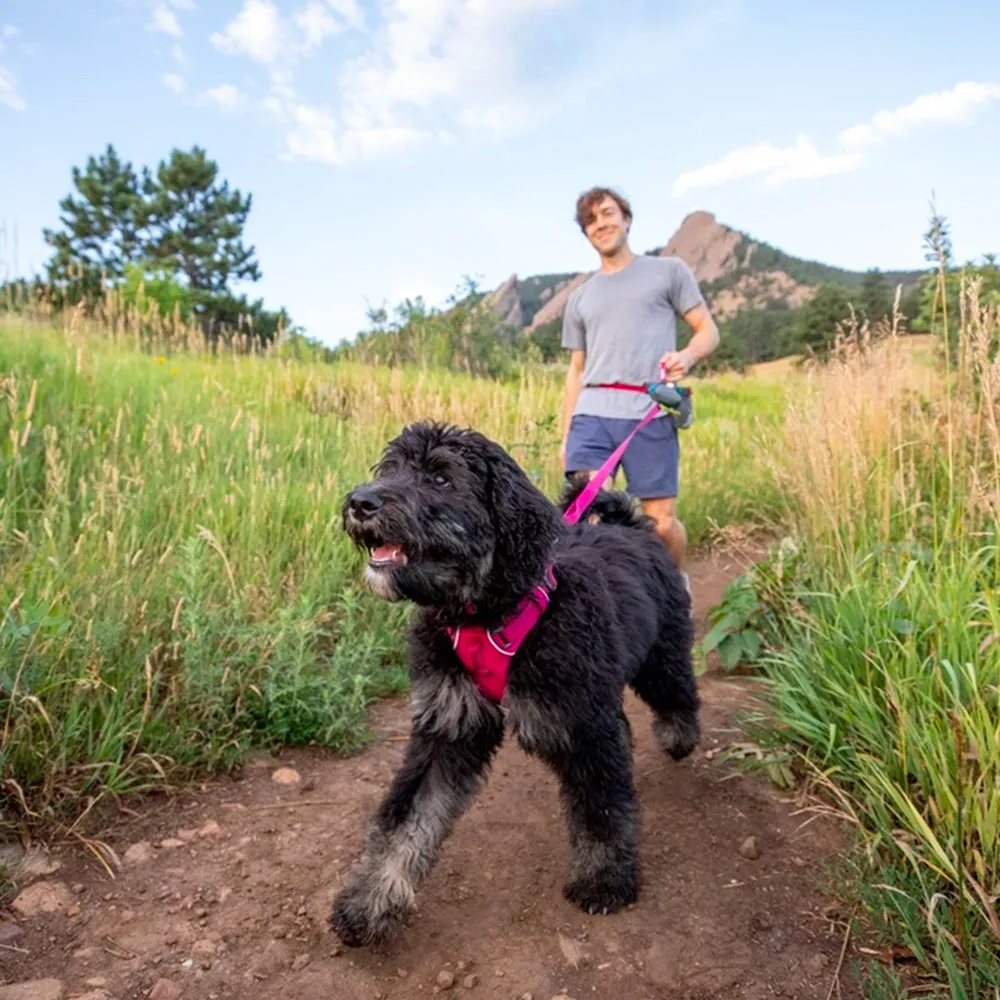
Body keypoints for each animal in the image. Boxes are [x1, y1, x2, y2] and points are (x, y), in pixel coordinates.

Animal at [332, 420, 700, 944]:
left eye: (441, 478)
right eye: (390, 469)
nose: (361, 501)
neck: (487, 617)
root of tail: (629, 529)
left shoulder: (585, 725)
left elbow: (603, 809)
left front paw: (605, 879)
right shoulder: (448, 724)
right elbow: (404, 819)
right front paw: (368, 900)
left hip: (659, 658)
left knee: (678, 691)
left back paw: (679, 735)